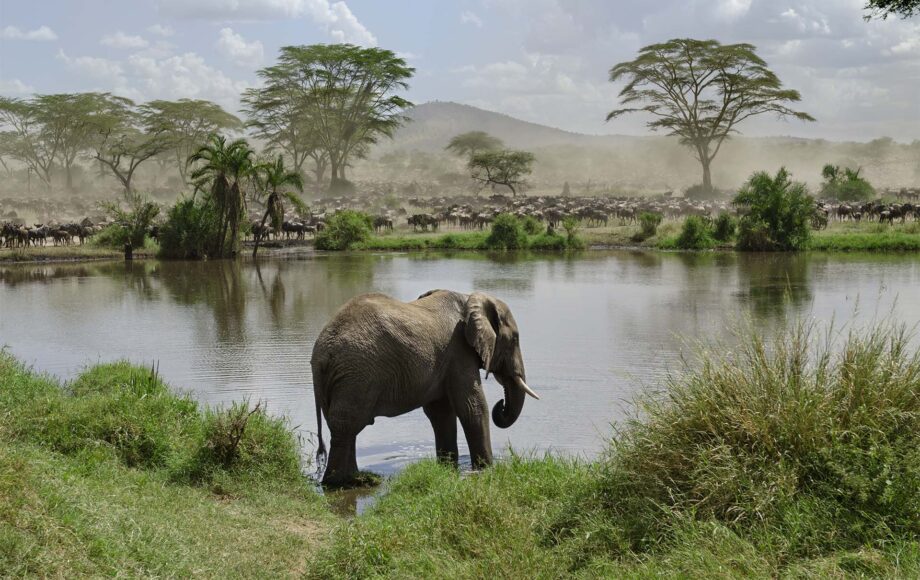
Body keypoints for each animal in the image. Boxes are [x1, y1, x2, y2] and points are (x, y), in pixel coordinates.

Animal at [310, 288, 540, 484]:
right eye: (515, 339)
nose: (501, 405)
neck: (469, 299)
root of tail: (321, 353)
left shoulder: (446, 358)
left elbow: (441, 412)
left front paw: (447, 467)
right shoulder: (458, 351)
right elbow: (472, 407)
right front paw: (485, 469)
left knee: (345, 427)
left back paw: (355, 479)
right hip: (357, 372)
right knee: (346, 424)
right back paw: (340, 483)